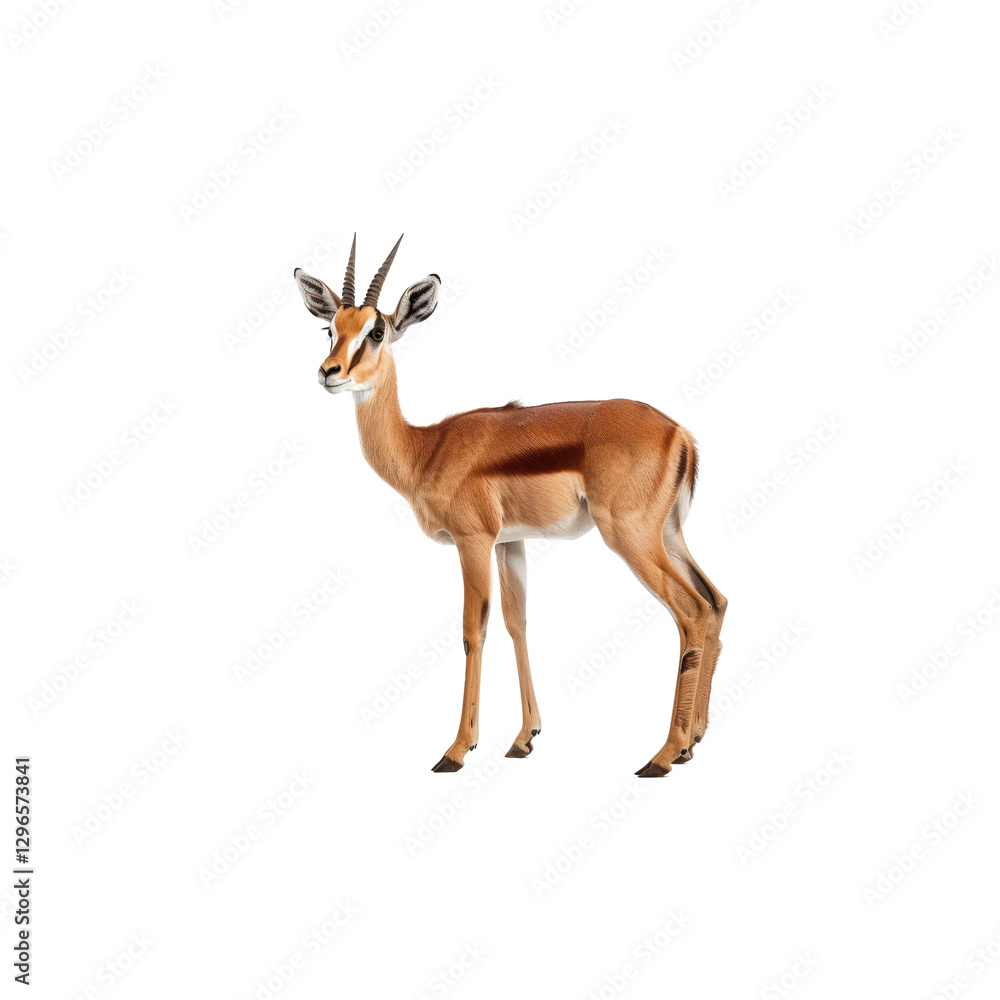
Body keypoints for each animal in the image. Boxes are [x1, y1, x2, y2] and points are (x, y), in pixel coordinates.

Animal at [294, 236, 726, 776]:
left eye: (376, 331)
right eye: (330, 328)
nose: (328, 373)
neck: (426, 448)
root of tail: (679, 433)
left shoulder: (473, 541)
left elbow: (471, 629)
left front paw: (457, 749)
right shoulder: (510, 543)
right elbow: (516, 622)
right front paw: (524, 739)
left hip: (632, 539)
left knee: (691, 611)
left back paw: (664, 754)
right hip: (669, 535)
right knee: (715, 601)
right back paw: (694, 741)